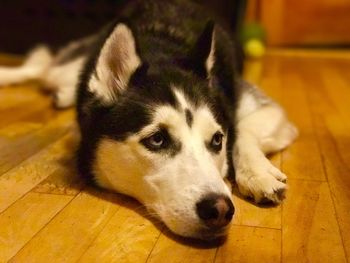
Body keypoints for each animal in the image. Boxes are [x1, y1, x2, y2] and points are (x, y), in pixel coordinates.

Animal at [0, 0, 298, 240]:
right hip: (70, 68)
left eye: (216, 141)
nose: (220, 210)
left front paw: (258, 173)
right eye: (157, 139)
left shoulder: (263, 106)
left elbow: (243, 129)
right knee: (42, 68)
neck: (161, 52)